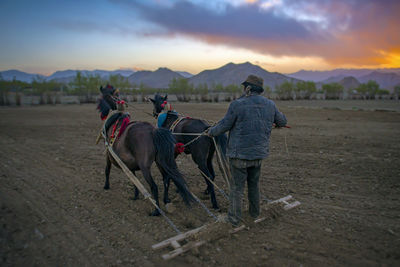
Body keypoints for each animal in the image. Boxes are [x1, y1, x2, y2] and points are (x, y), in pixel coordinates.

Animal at [97, 86, 194, 216]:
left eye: (101, 97)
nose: (100, 110)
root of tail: (153, 131)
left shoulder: (108, 154)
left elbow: (107, 170)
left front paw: (106, 186)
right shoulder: (129, 164)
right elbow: (134, 179)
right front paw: (135, 196)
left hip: (145, 167)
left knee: (154, 186)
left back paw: (156, 211)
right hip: (160, 162)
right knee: (166, 178)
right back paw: (166, 199)